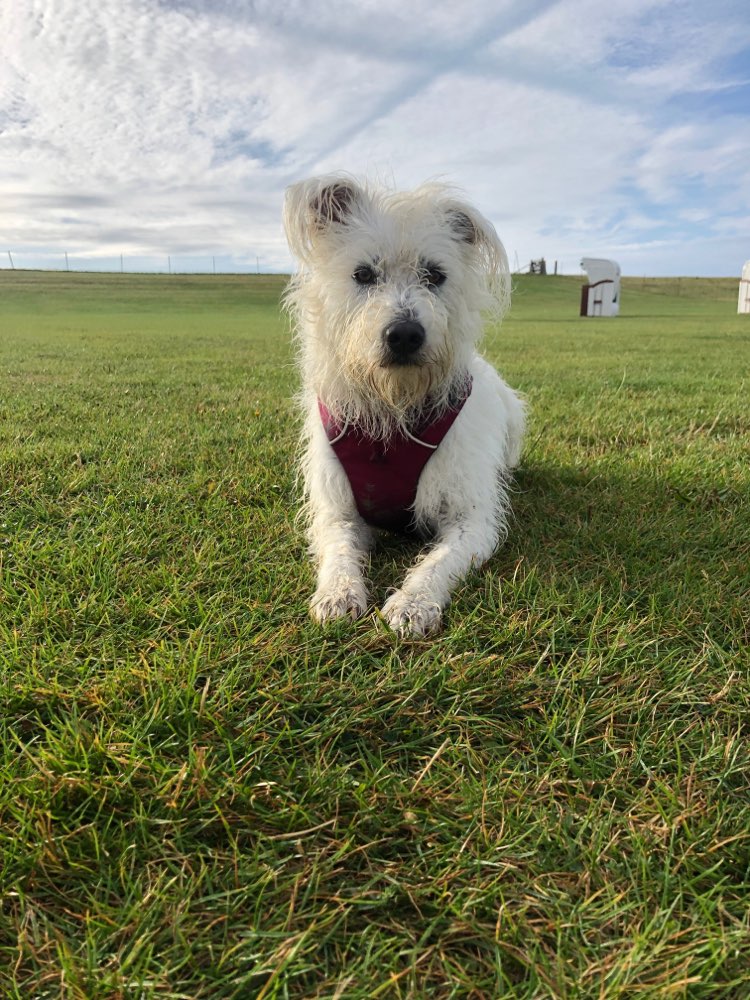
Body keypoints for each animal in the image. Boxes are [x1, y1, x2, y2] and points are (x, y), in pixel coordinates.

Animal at [284, 175, 528, 636]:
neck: (394, 410)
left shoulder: (471, 519)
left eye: (435, 275)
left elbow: (438, 562)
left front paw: (414, 601)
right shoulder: (337, 511)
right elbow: (338, 552)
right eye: (363, 274)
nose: (404, 334)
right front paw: (338, 593)